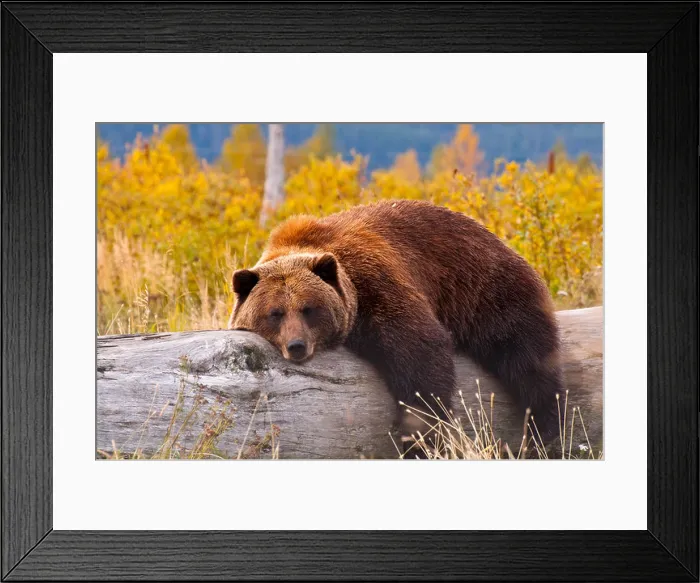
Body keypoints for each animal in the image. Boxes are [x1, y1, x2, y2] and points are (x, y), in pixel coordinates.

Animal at [228, 199, 564, 450]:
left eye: (309, 309)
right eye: (275, 313)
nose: (296, 346)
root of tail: (498, 239)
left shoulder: (376, 283)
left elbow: (420, 353)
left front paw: (419, 436)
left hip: (485, 290)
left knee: (526, 355)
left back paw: (544, 424)